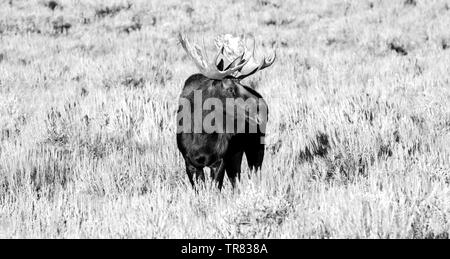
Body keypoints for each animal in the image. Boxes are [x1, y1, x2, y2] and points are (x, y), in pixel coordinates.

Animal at [175, 33, 274, 190]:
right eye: (230, 88)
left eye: (240, 84)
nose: (262, 109)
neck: (201, 135)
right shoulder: (190, 162)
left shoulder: (220, 160)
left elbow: (215, 188)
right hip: (236, 153)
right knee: (236, 180)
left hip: (255, 145)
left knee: (254, 174)